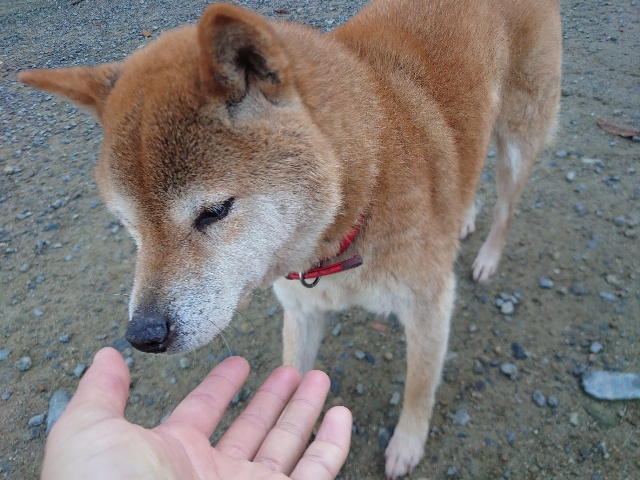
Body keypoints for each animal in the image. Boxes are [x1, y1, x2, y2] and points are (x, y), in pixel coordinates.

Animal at [20, 0, 561, 476]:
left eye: (213, 212)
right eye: (129, 226)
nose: (144, 335)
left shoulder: (429, 305)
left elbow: (418, 386)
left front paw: (407, 443)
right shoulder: (302, 311)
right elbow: (293, 378)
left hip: (519, 134)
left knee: (507, 204)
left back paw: (487, 256)